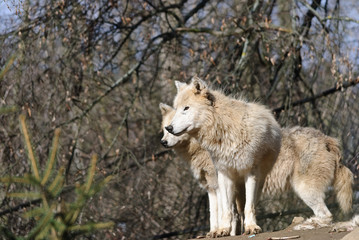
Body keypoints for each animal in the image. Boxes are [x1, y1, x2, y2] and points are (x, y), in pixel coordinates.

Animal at [166, 77, 284, 236]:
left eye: (186, 108)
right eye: (176, 109)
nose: (168, 128)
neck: (225, 129)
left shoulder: (250, 172)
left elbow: (249, 207)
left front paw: (251, 227)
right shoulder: (224, 174)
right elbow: (226, 209)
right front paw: (222, 230)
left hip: (258, 182)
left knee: (247, 206)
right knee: (235, 210)